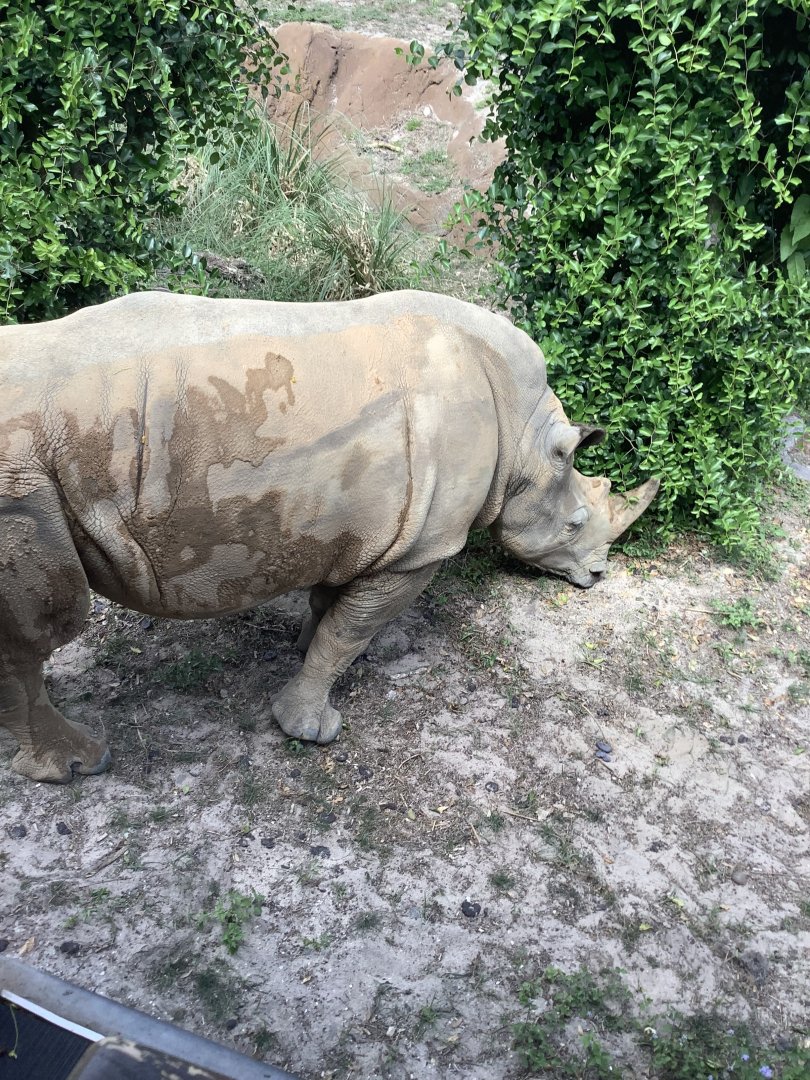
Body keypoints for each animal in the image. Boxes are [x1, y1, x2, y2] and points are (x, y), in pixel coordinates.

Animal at [0, 290, 658, 783]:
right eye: (575, 523)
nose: (597, 575)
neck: (525, 437)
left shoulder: (354, 524)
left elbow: (332, 609)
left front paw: (310, 647)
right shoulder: (422, 549)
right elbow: (349, 631)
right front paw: (309, 729)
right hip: (23, 478)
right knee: (47, 625)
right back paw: (81, 764)